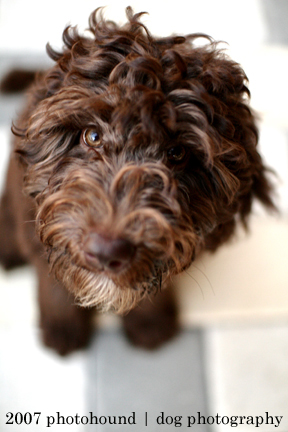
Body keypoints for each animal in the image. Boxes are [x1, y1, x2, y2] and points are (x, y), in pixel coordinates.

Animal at [0, 7, 274, 354]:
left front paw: (150, 321)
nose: (106, 251)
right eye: (92, 136)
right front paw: (62, 326)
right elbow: (54, 285)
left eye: (177, 153)